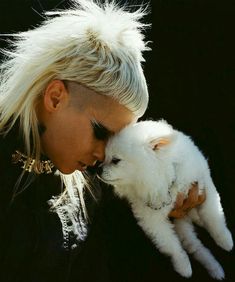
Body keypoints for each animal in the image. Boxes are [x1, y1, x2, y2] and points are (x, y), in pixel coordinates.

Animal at [98, 120, 233, 278]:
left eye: (115, 160)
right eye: (104, 158)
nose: (97, 169)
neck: (164, 181)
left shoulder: (204, 186)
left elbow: (213, 216)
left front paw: (224, 239)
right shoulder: (152, 220)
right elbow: (172, 246)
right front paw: (183, 266)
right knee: (194, 245)